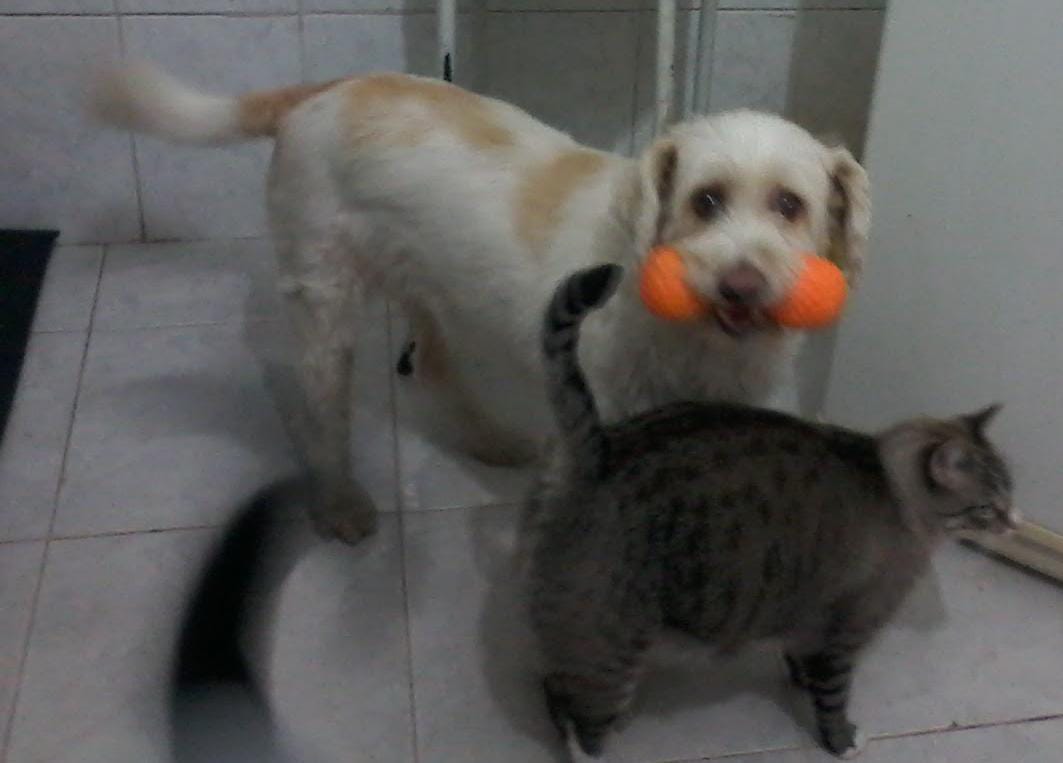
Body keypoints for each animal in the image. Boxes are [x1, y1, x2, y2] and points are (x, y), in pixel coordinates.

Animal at [92, 64, 870, 545]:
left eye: (789, 205)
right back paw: (340, 502)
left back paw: (489, 439)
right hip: (325, 303)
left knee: (437, 371)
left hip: (428, 290)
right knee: (321, 412)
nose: (740, 284)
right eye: (705, 201)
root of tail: (326, 89)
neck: (694, 338)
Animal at [521, 263, 1017, 760]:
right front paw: (843, 740)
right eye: (989, 506)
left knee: (554, 686)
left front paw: (801, 683)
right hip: (613, 647)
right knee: (581, 717)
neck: (892, 486)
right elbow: (833, 696)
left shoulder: (809, 623)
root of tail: (602, 452)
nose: (1014, 523)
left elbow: (803, 662)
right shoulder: (847, 633)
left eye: (1010, 495)